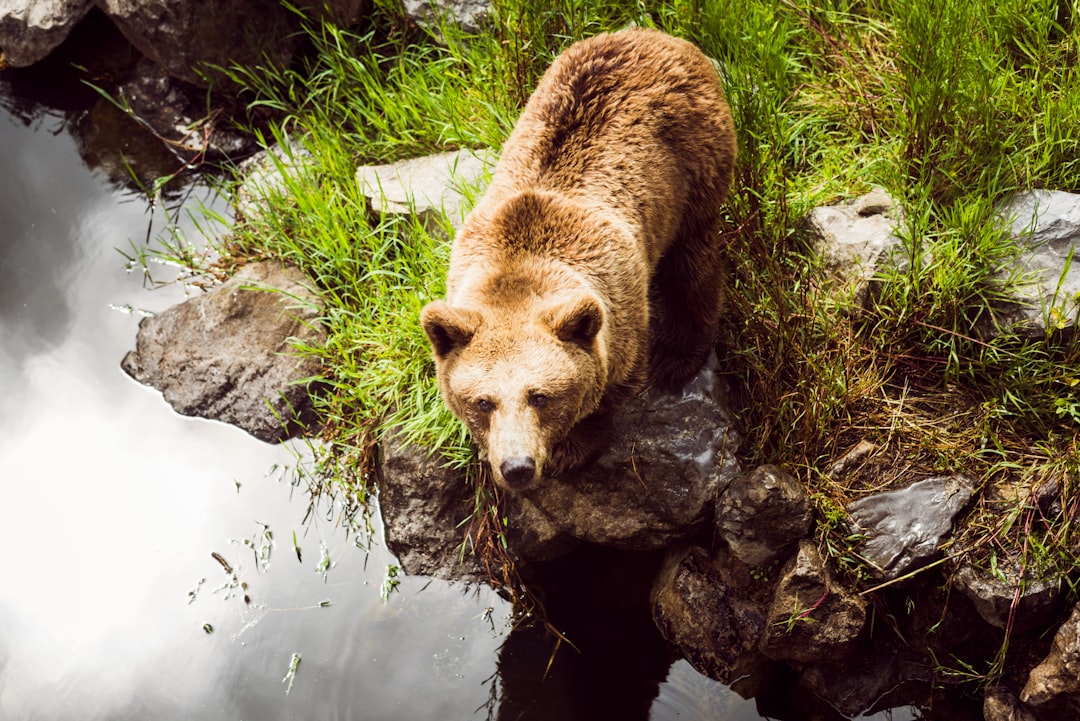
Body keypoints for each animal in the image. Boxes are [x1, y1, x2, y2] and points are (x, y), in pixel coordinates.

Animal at [421, 27, 736, 490]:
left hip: (693, 166)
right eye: (483, 401)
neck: (520, 264)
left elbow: (612, 386)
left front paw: (571, 448)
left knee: (690, 265)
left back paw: (676, 356)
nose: (517, 467)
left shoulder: (619, 307)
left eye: (540, 396)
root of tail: (653, 34)